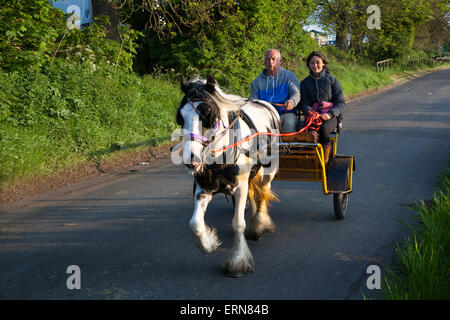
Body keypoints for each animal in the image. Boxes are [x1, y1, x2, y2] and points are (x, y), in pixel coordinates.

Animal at [175, 75, 282, 278]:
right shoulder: (203, 188)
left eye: (208, 114)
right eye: (180, 116)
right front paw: (208, 244)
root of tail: (265, 103)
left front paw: (237, 262)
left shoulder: (240, 187)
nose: (191, 160)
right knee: (255, 194)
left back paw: (258, 224)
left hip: (269, 170)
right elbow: (195, 223)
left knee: (262, 194)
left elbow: (238, 223)